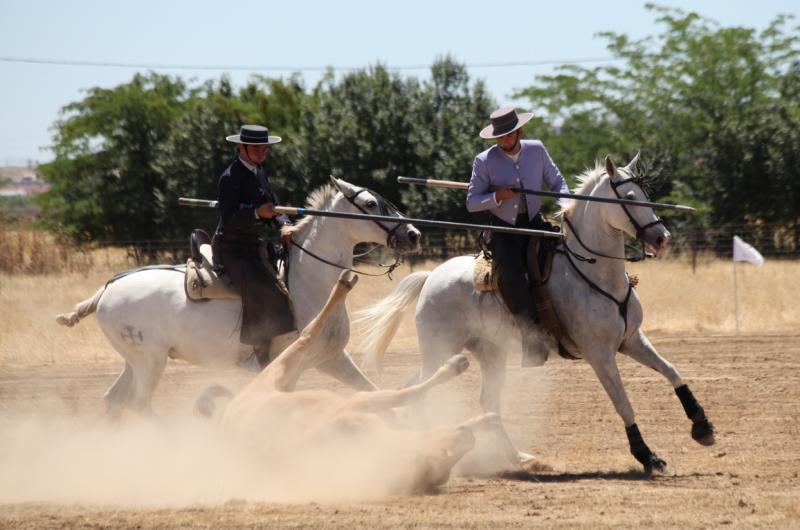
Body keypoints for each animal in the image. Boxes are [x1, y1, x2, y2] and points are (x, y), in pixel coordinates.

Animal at [55, 178, 422, 416]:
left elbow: (372, 393)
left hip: (135, 362)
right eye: (371, 204)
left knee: (113, 402)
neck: (309, 280)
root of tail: (107, 289)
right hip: (150, 363)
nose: (413, 234)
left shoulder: (332, 359)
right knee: (139, 406)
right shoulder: (289, 364)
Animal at [354, 154, 716, 470]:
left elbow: (672, 371)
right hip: (439, 348)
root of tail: (431, 277)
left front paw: (702, 426)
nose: (662, 237)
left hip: (489, 354)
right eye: (629, 197)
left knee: (483, 402)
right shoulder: (599, 354)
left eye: (647, 196)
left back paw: (516, 457)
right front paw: (648, 457)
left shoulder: (632, 340)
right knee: (422, 391)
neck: (595, 272)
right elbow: (623, 404)